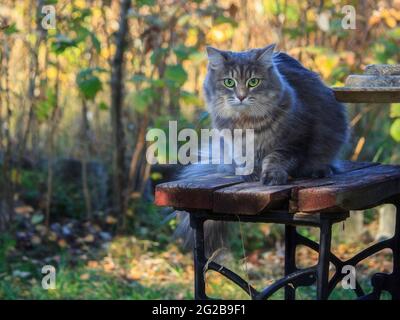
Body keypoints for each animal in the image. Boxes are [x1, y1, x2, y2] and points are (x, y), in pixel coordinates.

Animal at [174, 44, 346, 255]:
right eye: (229, 82)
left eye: (253, 82)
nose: (241, 96)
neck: (247, 122)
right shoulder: (233, 142)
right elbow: (244, 158)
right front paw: (250, 173)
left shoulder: (294, 140)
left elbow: (275, 159)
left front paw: (271, 176)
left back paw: (319, 171)